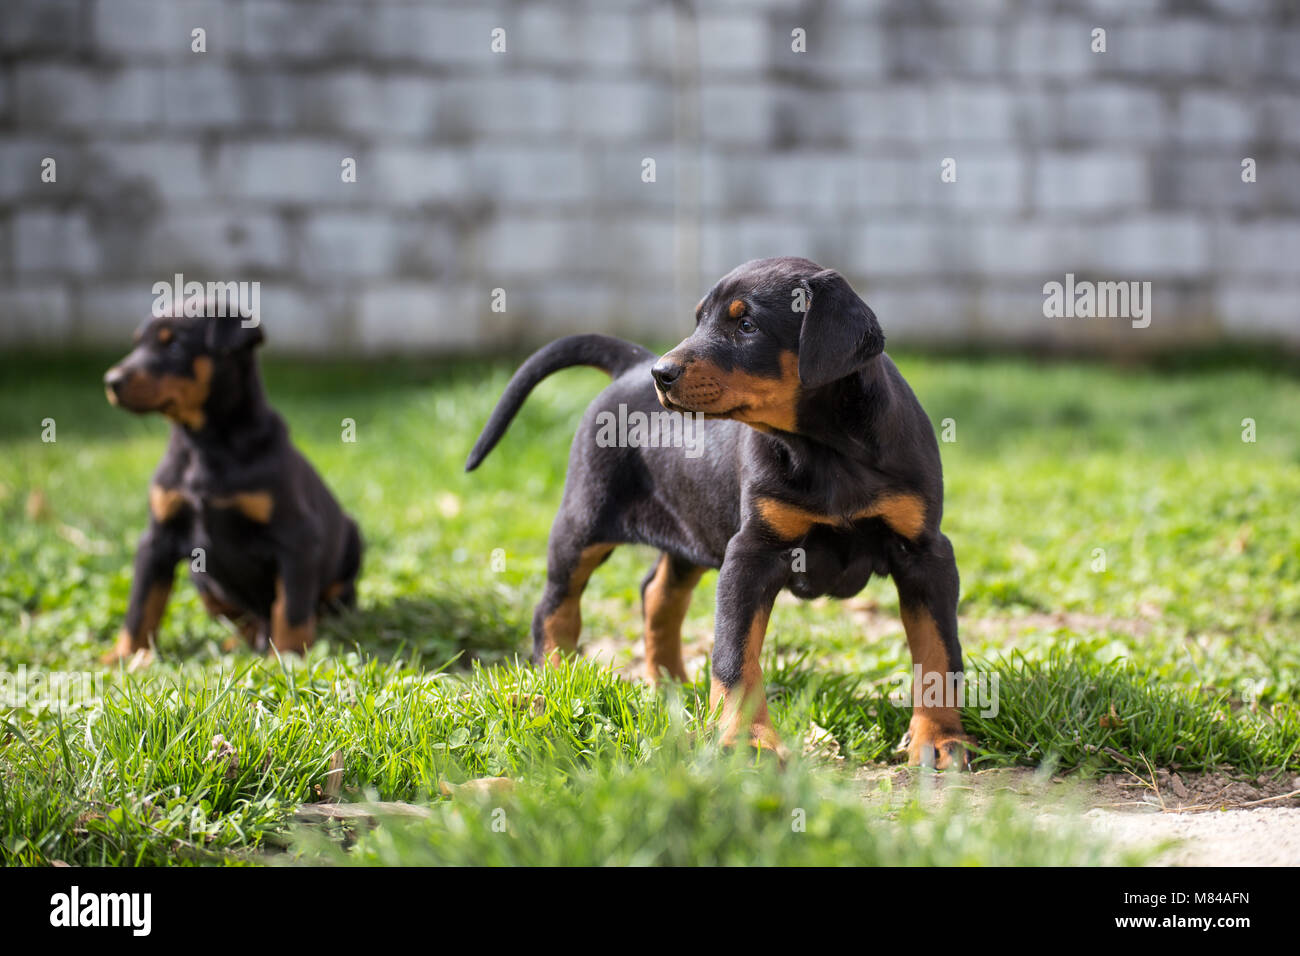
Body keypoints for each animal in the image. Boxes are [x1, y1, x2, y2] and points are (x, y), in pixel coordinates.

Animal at [102, 314, 361, 665]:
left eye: (175, 345)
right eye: (137, 344)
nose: (111, 381)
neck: (204, 442)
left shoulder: (298, 536)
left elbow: (292, 607)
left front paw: (289, 656)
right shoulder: (156, 538)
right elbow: (141, 604)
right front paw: (122, 656)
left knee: (317, 604)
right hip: (203, 581)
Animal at [470, 256, 977, 770]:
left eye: (746, 325)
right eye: (699, 320)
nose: (661, 373)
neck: (825, 448)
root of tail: (630, 364)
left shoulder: (925, 552)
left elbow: (939, 651)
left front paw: (939, 738)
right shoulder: (751, 551)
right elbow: (736, 654)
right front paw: (749, 741)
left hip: (690, 528)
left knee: (658, 592)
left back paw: (671, 686)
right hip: (583, 519)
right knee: (557, 604)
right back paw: (556, 679)